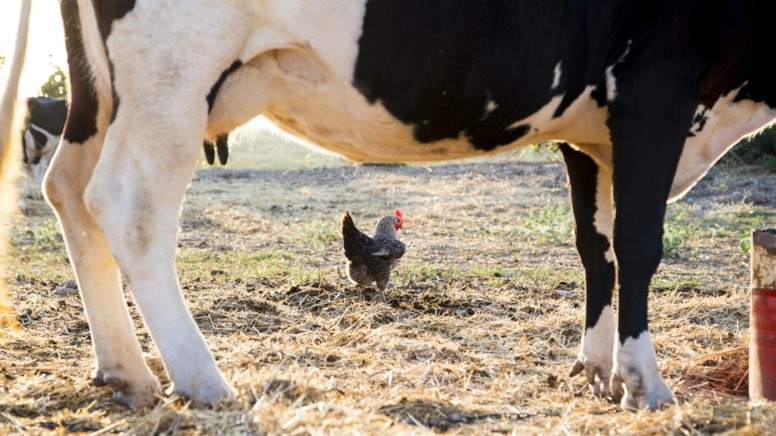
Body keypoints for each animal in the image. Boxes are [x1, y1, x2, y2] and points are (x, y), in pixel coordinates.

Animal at [45, 0, 776, 410]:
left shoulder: (588, 132)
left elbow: (595, 251)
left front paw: (595, 368)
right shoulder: (655, 83)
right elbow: (637, 247)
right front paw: (643, 382)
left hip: (98, 91)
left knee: (67, 191)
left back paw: (126, 374)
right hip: (170, 71)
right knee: (129, 205)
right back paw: (204, 381)